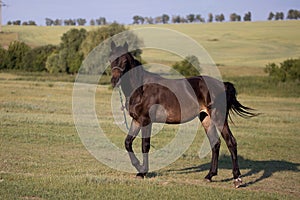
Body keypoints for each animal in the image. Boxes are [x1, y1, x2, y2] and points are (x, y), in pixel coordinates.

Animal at [109, 41, 256, 188]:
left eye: (124, 61)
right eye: (111, 59)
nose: (114, 80)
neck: (141, 88)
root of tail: (223, 85)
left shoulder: (146, 121)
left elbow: (145, 145)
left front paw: (143, 172)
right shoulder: (137, 120)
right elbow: (127, 143)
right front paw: (139, 167)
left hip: (219, 118)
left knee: (231, 142)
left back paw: (237, 179)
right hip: (206, 118)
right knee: (215, 143)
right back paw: (209, 176)